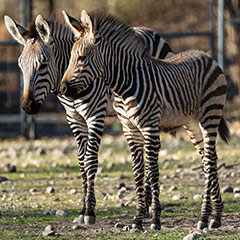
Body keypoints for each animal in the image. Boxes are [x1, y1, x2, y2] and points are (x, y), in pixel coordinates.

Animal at [3, 14, 172, 225]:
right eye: (20, 65)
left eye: (43, 64)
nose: (27, 106)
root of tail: (150, 31)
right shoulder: (74, 118)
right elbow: (81, 160)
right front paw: (83, 208)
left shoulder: (95, 115)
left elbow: (91, 159)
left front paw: (89, 211)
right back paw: (147, 203)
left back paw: (149, 205)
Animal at [60, 10, 231, 231]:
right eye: (71, 57)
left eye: (81, 58)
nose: (62, 89)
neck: (123, 86)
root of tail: (208, 56)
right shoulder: (129, 129)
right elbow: (138, 172)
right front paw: (138, 220)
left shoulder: (149, 126)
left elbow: (152, 171)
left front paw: (155, 219)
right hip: (192, 124)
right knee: (209, 159)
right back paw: (214, 215)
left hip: (210, 113)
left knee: (209, 161)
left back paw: (205, 217)